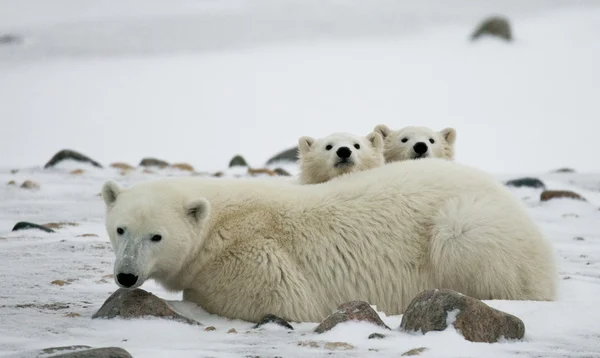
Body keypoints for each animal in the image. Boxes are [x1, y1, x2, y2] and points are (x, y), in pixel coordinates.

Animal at [101, 158, 556, 324]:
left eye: (156, 236)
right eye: (120, 229)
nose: (125, 276)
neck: (220, 221)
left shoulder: (256, 255)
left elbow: (278, 299)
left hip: (469, 225)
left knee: (465, 238)